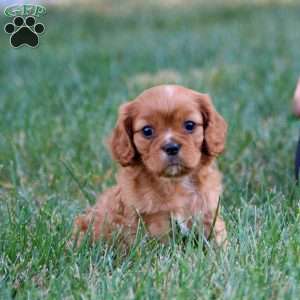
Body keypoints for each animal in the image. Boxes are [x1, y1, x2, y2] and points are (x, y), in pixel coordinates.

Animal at [75, 84, 227, 246]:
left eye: (190, 125)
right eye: (147, 131)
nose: (171, 147)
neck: (174, 182)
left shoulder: (208, 212)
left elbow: (218, 237)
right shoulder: (155, 223)